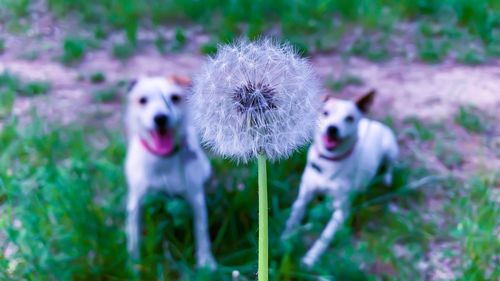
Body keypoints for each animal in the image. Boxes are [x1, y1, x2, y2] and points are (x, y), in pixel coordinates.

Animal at [124, 74, 215, 266]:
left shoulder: (196, 198)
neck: (163, 161)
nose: (161, 118)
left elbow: (201, 231)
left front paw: (206, 262)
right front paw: (134, 264)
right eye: (142, 100)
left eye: (174, 98)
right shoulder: (136, 202)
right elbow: (133, 237)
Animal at [284, 89, 396, 264]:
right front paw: (284, 237)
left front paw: (311, 258)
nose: (332, 129)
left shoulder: (341, 211)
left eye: (349, 118)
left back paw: (386, 178)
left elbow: (325, 236)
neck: (330, 163)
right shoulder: (304, 195)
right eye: (325, 112)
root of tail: (374, 123)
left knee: (390, 166)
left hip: (390, 150)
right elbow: (294, 215)